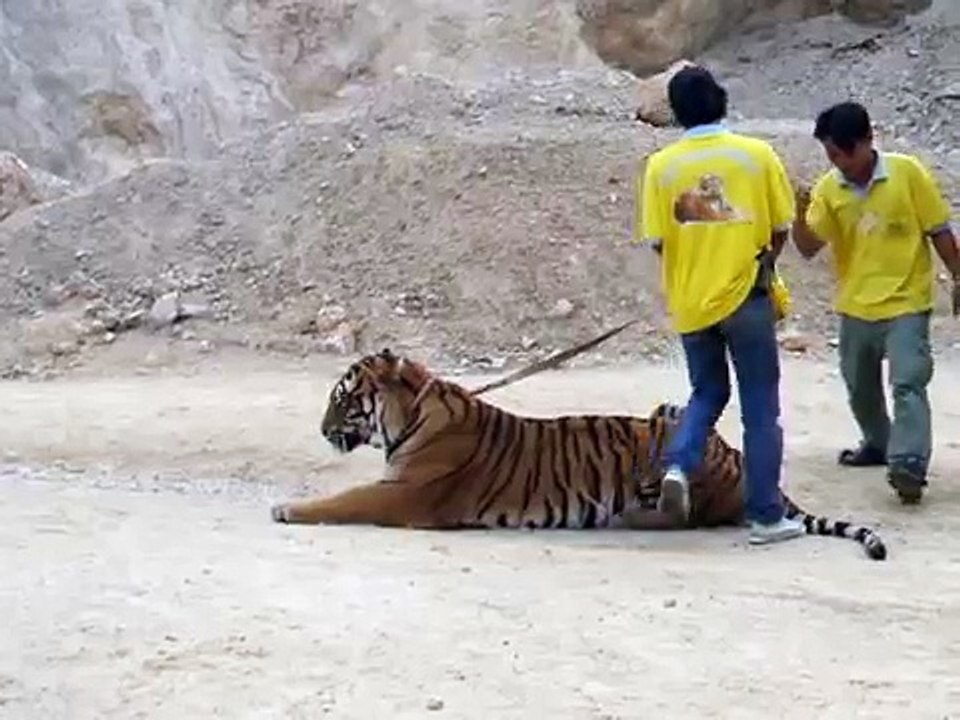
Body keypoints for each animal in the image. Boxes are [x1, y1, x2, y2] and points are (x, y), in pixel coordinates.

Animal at [270, 349, 887, 561]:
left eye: (342, 398)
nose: (321, 429)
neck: (413, 412)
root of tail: (744, 467)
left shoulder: (403, 496)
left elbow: (342, 500)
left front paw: (286, 508)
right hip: (670, 408)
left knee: (685, 514)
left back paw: (633, 514)